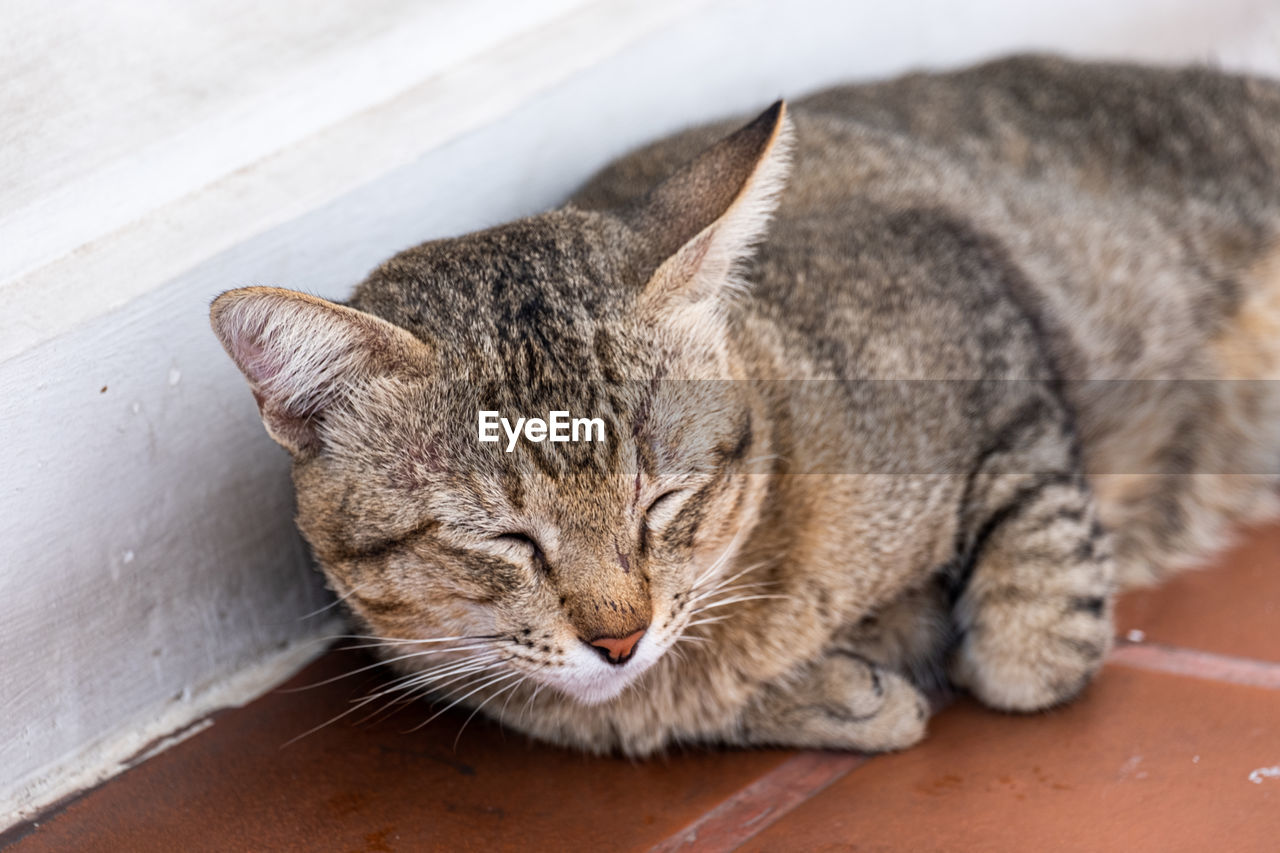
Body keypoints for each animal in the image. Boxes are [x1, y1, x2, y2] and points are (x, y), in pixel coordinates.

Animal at [212, 56, 1280, 753]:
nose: (617, 637)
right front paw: (841, 691)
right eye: (506, 539)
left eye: (661, 500)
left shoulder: (986, 320)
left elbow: (1031, 636)